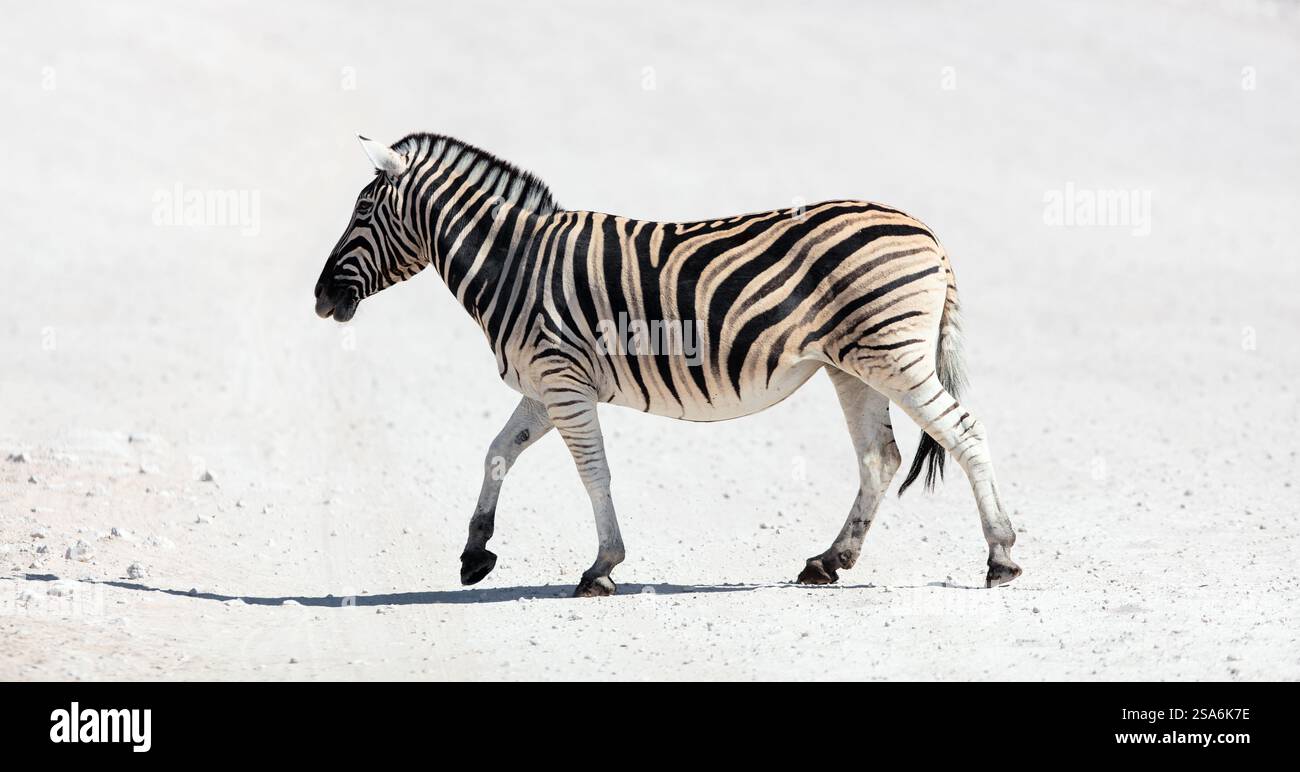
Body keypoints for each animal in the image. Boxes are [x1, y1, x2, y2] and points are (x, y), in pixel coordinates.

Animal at [314, 133, 1022, 597]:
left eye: (361, 211)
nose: (320, 299)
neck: (515, 263)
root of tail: (924, 230)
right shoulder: (545, 384)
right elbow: (496, 453)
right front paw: (474, 552)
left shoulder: (564, 382)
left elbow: (592, 474)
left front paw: (602, 566)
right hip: (852, 365)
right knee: (880, 458)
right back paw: (828, 562)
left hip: (891, 355)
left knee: (964, 432)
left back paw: (1001, 558)